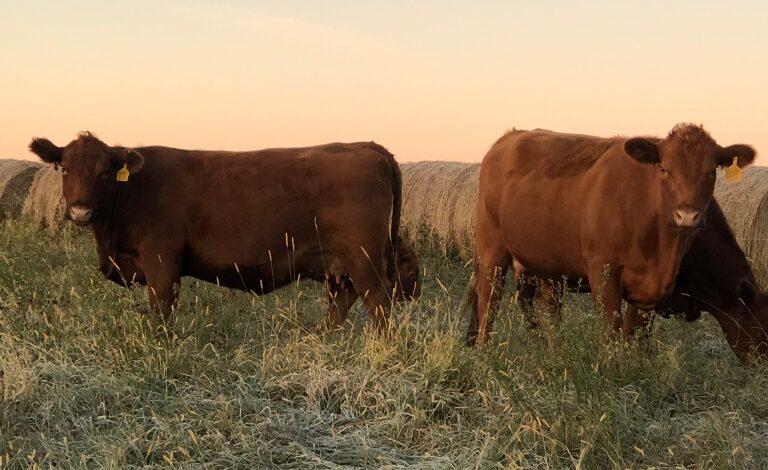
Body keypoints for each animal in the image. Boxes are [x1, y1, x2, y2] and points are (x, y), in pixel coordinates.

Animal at [29, 132, 417, 333]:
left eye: (105, 172)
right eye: (64, 168)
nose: (80, 211)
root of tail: (368, 145)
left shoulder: (161, 261)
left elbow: (162, 308)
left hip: (365, 260)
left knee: (378, 303)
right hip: (340, 263)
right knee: (341, 301)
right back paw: (322, 339)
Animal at [467, 124, 756, 347]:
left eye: (711, 171)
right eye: (663, 169)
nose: (687, 215)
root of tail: (510, 136)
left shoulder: (646, 294)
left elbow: (633, 337)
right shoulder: (603, 271)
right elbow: (611, 334)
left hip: (546, 266)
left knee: (547, 310)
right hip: (491, 249)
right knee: (488, 301)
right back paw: (483, 351)